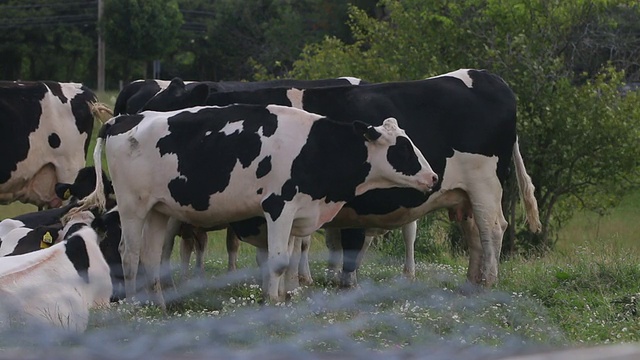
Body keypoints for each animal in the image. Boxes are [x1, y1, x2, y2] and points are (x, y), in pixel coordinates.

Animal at [74, 102, 436, 306]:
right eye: (403, 149)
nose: (433, 177)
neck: (316, 147)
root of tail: (125, 119)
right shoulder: (278, 206)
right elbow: (277, 260)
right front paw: (271, 300)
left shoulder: (298, 212)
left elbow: (288, 258)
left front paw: (282, 295)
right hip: (133, 206)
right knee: (129, 254)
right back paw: (135, 303)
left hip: (159, 210)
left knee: (151, 256)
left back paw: (160, 303)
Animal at [140, 69, 540, 290]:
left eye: (168, 109)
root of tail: (487, 76)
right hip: (464, 194)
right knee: (474, 232)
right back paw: (472, 282)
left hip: (486, 185)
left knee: (492, 229)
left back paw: (487, 282)